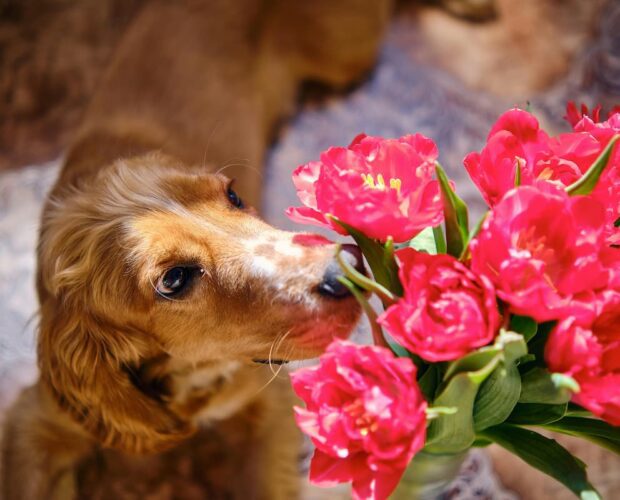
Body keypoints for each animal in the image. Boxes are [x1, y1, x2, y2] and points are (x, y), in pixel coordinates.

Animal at [1, 1, 392, 498]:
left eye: (234, 195)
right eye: (174, 279)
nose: (348, 270)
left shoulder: (266, 397)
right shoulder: (35, 419)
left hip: (346, 50)